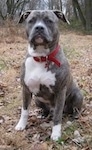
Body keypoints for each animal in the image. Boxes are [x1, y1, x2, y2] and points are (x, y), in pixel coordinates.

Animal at [14, 9, 82, 141]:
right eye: (31, 20)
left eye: (49, 21)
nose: (39, 27)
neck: (41, 57)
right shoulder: (25, 89)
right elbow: (24, 110)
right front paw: (21, 125)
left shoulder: (60, 91)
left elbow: (57, 116)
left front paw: (55, 134)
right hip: (37, 100)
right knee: (45, 109)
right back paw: (43, 114)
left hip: (77, 95)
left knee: (73, 110)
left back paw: (73, 117)